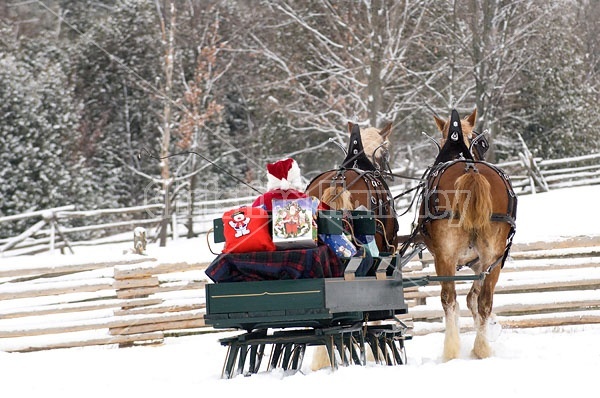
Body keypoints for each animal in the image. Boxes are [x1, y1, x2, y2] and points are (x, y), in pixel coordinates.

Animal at [418, 108, 516, 360]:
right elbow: (474, 299)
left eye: (482, 144)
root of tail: (471, 171)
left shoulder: (471, 262)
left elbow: (468, 299)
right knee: (483, 301)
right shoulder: (481, 263)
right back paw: (480, 349)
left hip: (447, 257)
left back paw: (452, 350)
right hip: (492, 258)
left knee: (450, 300)